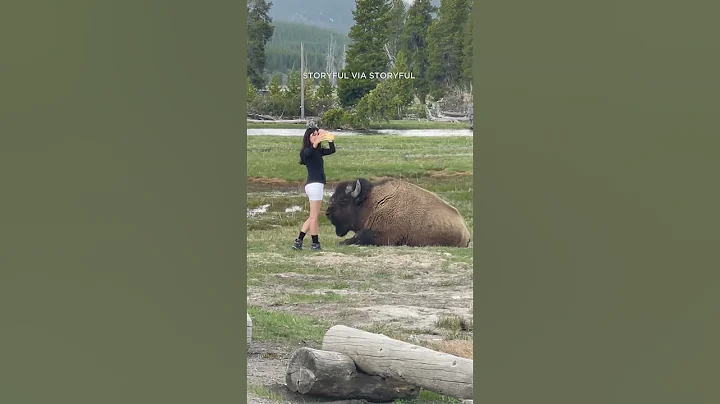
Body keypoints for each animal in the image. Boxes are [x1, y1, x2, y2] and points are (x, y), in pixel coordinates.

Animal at [325, 178, 471, 247]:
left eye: (344, 200)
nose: (327, 213)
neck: (372, 202)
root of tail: (465, 230)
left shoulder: (385, 235)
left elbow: (360, 236)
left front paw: (342, 243)